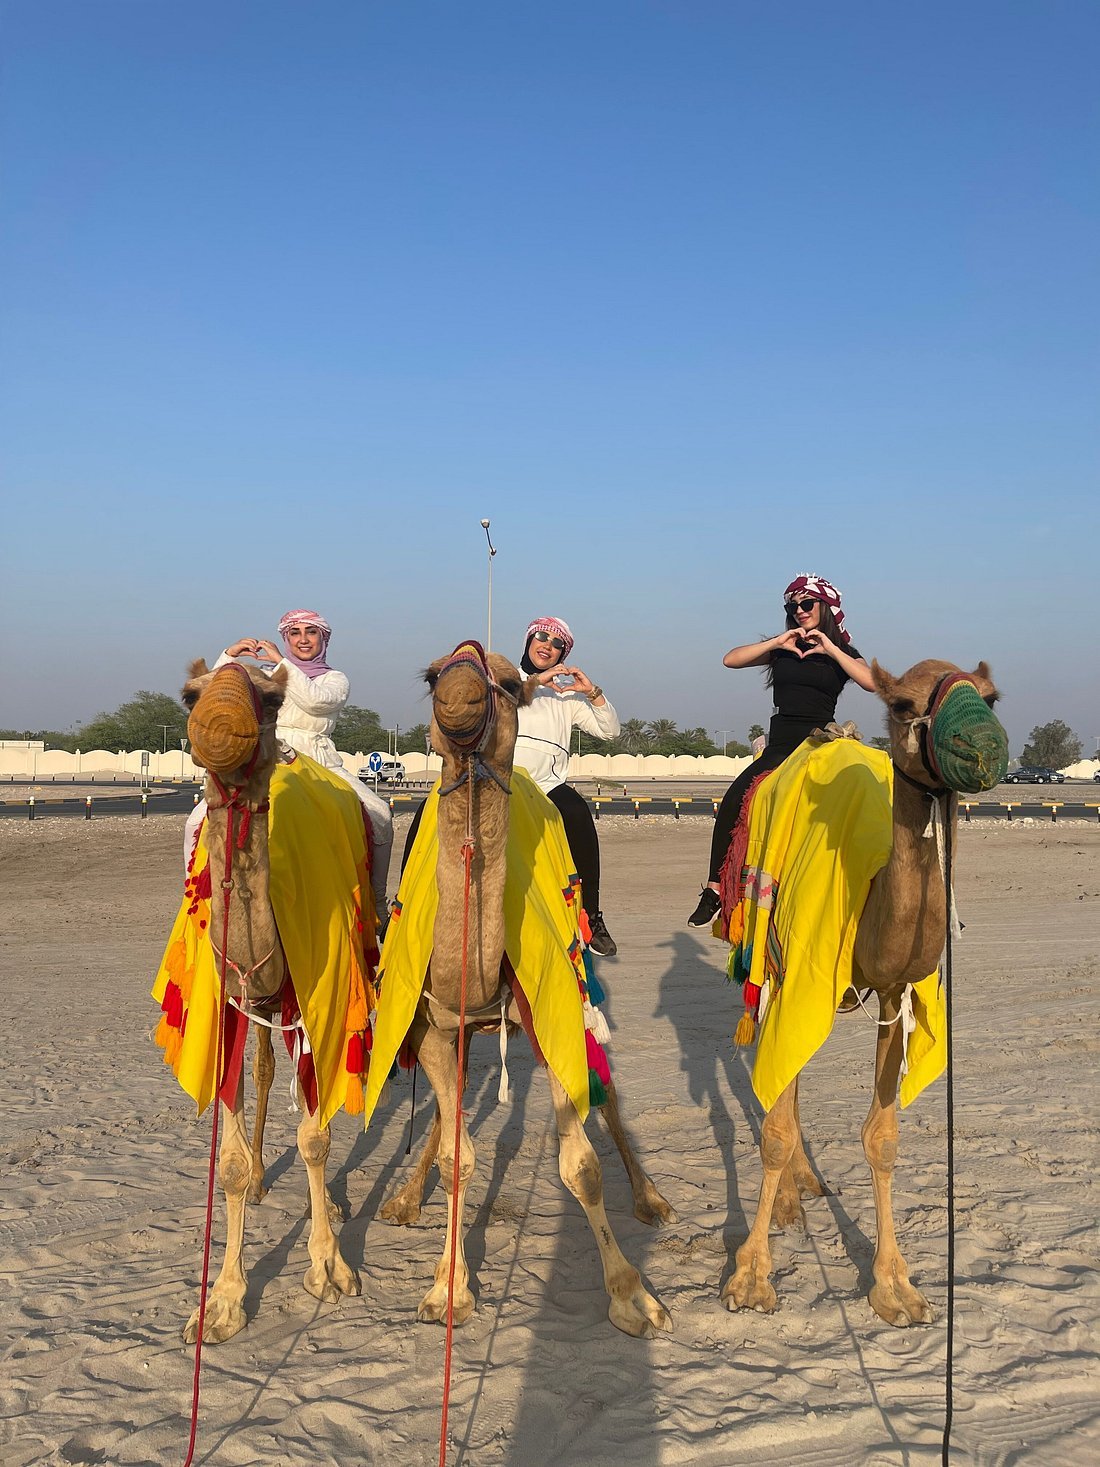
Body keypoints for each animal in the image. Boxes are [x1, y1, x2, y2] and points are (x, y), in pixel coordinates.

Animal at [170, 659, 362, 1343]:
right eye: (189, 695)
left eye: (272, 698)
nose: (220, 721)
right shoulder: (227, 1003)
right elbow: (224, 1160)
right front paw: (223, 1302)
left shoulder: (314, 999)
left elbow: (314, 1138)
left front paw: (328, 1267)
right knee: (262, 1067)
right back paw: (258, 1178)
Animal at [375, 642, 671, 1337]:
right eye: (431, 673)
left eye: (510, 683)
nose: (458, 692)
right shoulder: (433, 1027)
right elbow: (457, 1155)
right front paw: (447, 1290)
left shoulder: (551, 1013)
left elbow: (580, 1164)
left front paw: (632, 1296)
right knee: (445, 1121)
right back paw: (403, 1198)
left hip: (580, 992)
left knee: (606, 1089)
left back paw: (650, 1197)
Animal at [722, 658, 1008, 1326]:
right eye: (902, 704)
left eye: (989, 697)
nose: (980, 745)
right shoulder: (796, 973)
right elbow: (774, 1130)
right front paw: (750, 1279)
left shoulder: (896, 990)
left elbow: (882, 1138)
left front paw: (895, 1287)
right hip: (769, 964)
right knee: (780, 1075)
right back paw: (789, 1200)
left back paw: (804, 1186)